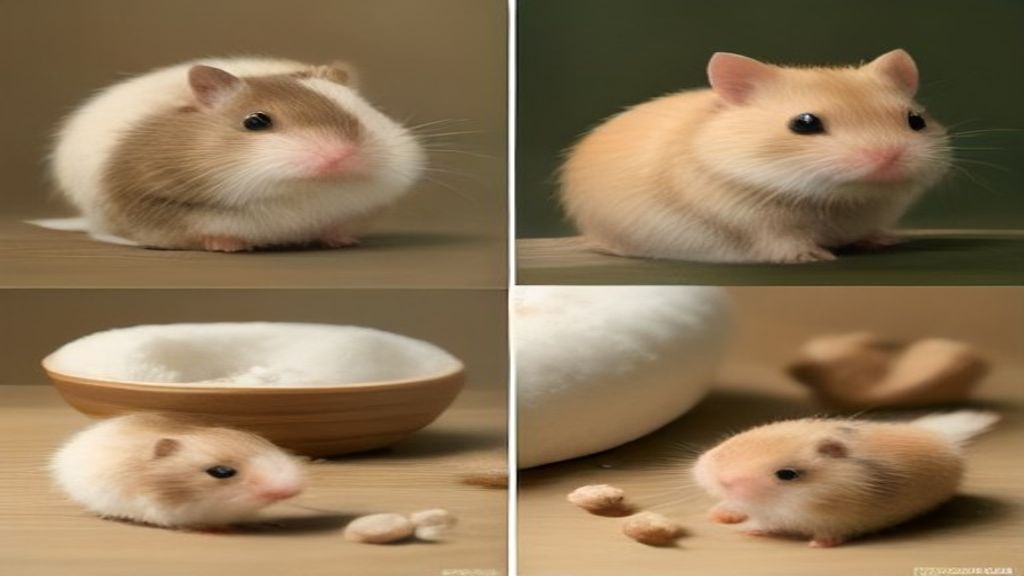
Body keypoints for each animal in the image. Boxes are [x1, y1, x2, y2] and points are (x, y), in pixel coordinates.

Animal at [52, 57, 424, 251]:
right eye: (255, 122)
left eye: (362, 111)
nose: (342, 156)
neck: (302, 192)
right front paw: (228, 245)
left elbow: (337, 225)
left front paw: (342, 240)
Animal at [561, 49, 951, 263]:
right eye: (804, 123)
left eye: (916, 120)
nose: (890, 157)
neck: (836, 199)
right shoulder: (747, 219)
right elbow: (780, 239)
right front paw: (812, 256)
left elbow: (868, 230)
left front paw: (887, 240)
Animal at [692, 411, 998, 547]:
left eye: (787, 475)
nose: (706, 470)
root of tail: (944, 438)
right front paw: (718, 516)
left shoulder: (827, 521)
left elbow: (768, 523)